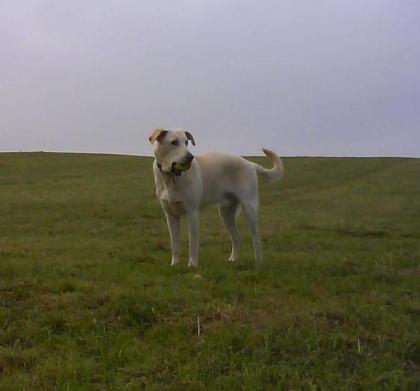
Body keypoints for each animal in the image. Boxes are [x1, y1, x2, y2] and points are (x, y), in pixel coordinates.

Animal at [149, 128, 284, 266]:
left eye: (186, 142)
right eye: (174, 142)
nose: (190, 157)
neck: (171, 178)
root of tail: (251, 164)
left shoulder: (192, 213)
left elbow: (193, 244)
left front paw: (192, 265)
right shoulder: (171, 216)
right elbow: (174, 245)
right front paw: (175, 264)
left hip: (249, 209)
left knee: (256, 238)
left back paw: (258, 262)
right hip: (226, 213)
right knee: (236, 237)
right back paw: (233, 259)